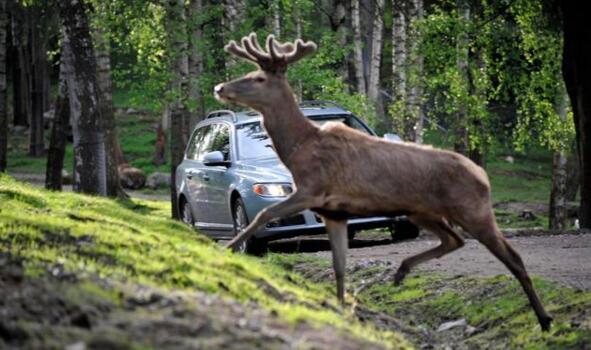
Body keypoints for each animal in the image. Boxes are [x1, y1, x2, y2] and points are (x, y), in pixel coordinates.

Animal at [214, 32, 556, 330]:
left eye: (258, 78)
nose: (220, 87)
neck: (299, 149)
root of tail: (483, 176)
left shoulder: (313, 190)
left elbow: (264, 213)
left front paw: (227, 248)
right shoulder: (334, 212)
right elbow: (338, 267)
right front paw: (342, 308)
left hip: (472, 209)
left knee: (512, 256)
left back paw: (545, 319)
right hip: (422, 212)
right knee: (454, 240)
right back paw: (400, 272)